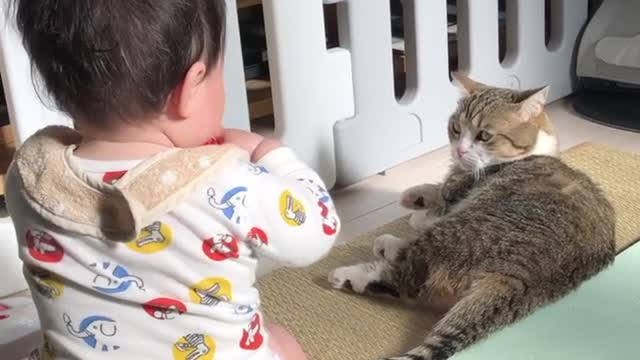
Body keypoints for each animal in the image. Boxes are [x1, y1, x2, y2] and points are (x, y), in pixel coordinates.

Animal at [330, 74, 616, 360]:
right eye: (456, 128)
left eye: (484, 135)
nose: (459, 151)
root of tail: (521, 277)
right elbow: (437, 189)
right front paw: (415, 195)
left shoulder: (457, 195)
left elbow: (441, 200)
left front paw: (418, 212)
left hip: (456, 233)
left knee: (406, 275)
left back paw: (354, 269)